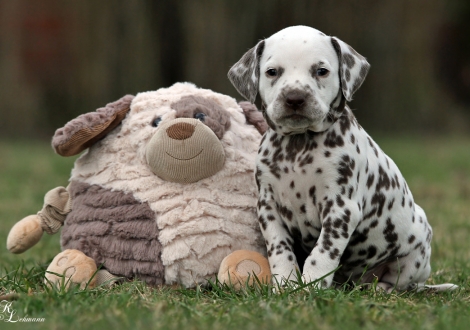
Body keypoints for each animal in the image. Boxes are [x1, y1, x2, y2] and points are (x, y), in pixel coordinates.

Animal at [228, 25, 456, 292]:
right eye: (272, 72)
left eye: (321, 71)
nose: (295, 98)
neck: (299, 147)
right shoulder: (268, 207)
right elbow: (280, 249)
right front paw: (285, 284)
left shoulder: (340, 208)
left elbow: (322, 252)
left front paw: (311, 286)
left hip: (415, 253)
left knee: (400, 283)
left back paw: (380, 289)